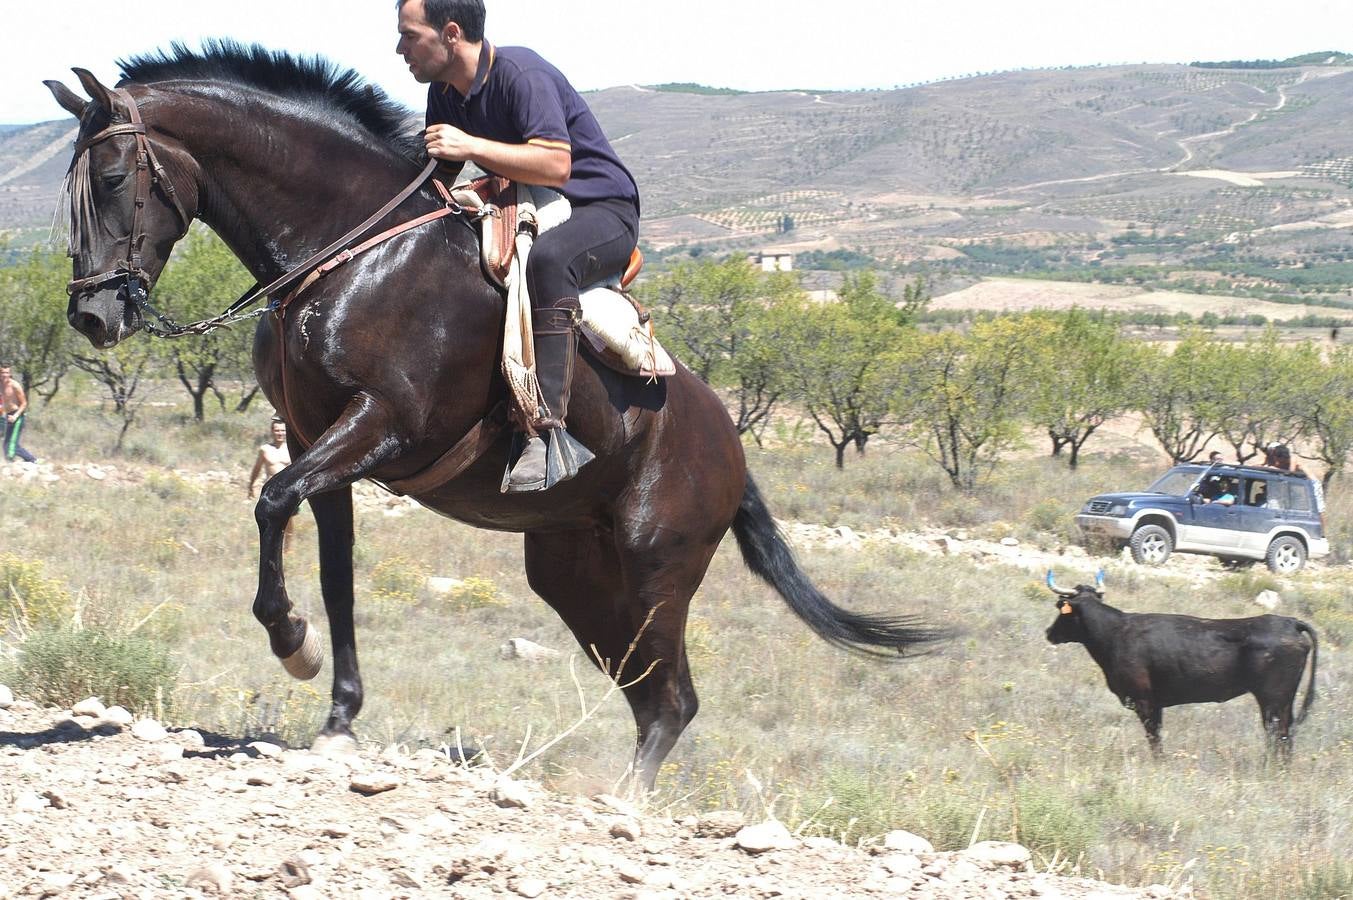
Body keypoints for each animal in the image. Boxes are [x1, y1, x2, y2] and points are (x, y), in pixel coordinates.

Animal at [1039, 571, 1315, 752]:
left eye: (1061, 608)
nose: (1049, 632)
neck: (1115, 631)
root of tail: (1290, 622)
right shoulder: (1156, 703)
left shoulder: (1144, 700)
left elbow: (1154, 738)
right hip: (1284, 701)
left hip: (1273, 700)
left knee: (1277, 734)